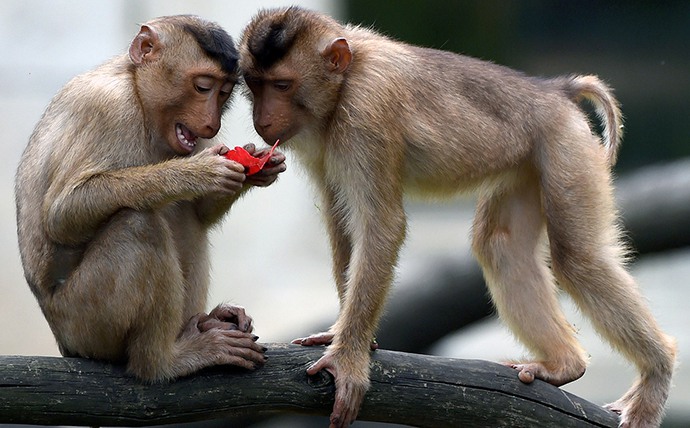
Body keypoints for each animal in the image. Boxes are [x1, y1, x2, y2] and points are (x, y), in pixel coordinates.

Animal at [16, 15, 284, 382]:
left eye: (224, 93)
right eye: (203, 87)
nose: (212, 124)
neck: (138, 93)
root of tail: (63, 342)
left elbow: (199, 211)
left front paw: (258, 165)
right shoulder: (109, 107)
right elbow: (61, 215)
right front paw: (197, 173)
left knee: (183, 216)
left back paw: (202, 323)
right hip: (84, 322)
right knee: (139, 224)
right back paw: (163, 361)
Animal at [238, 6, 672, 428]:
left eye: (282, 86)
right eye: (255, 85)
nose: (262, 119)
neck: (345, 80)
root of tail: (555, 90)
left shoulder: (366, 110)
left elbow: (381, 226)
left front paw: (347, 359)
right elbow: (342, 221)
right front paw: (346, 338)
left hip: (565, 144)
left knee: (577, 258)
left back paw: (657, 369)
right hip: (527, 162)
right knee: (500, 244)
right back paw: (565, 365)